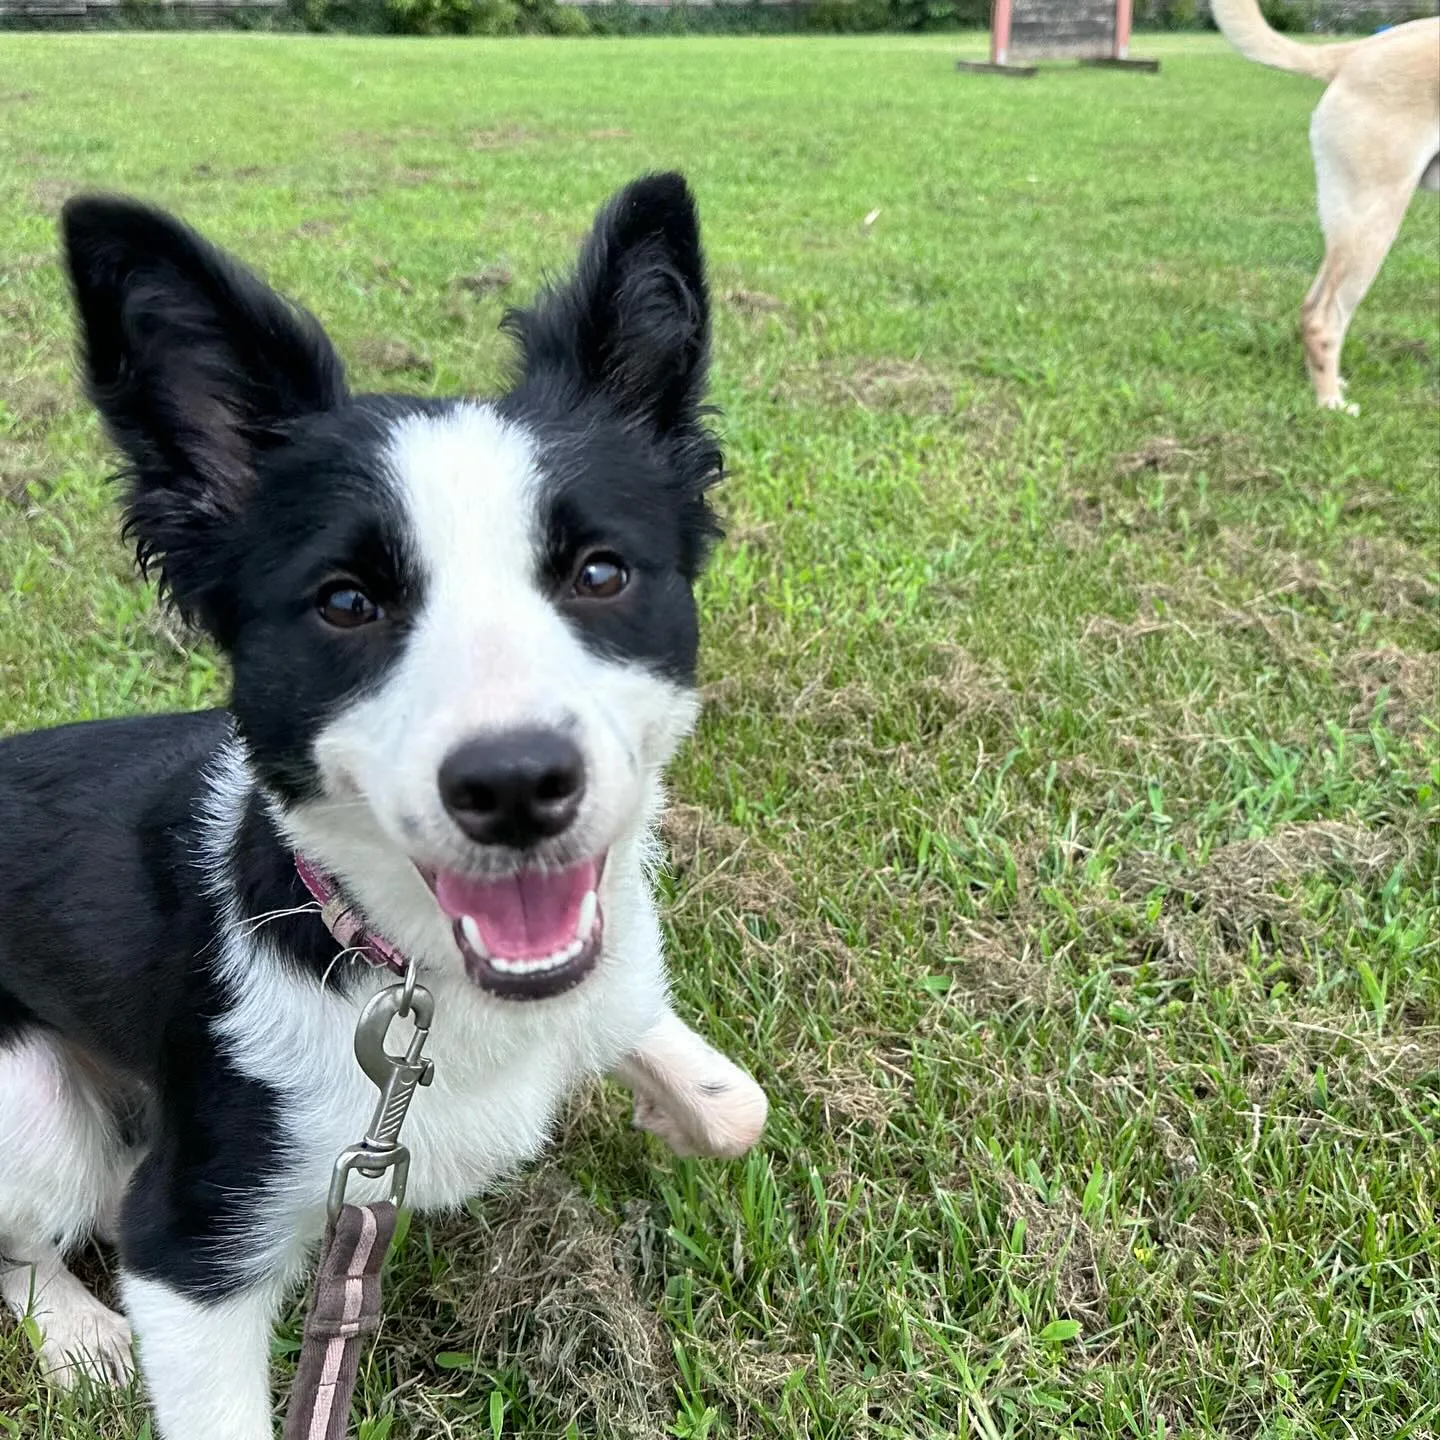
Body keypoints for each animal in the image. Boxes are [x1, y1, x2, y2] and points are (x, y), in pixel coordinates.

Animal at [0, 174, 771, 1434]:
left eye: (601, 572)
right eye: (347, 602)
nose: (516, 787)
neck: (415, 970)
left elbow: (729, 1098)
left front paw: (674, 1102)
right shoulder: (192, 1245)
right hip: (30, 1098)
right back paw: (73, 1331)